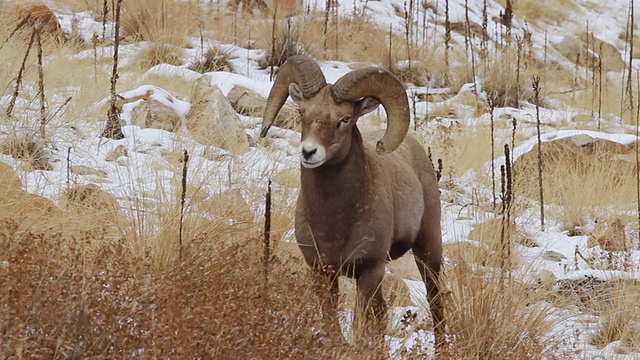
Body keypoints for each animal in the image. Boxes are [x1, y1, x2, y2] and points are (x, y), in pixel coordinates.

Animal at [260, 54, 444, 348]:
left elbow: (361, 326)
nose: (309, 152)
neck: (334, 222)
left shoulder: (368, 272)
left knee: (435, 301)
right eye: (302, 113)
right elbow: (332, 324)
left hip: (428, 250)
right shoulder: (322, 272)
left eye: (345, 119)